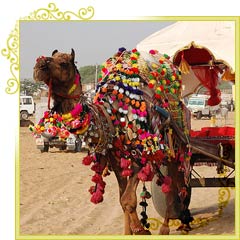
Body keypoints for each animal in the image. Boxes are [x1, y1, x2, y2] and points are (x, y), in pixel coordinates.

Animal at [31, 48, 196, 234]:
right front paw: (132, 231)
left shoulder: (139, 155)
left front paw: (142, 230)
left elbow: (127, 200)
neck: (112, 114)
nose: (39, 65)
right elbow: (123, 199)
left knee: (177, 182)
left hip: (174, 144)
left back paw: (171, 225)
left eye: (64, 62)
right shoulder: (116, 158)